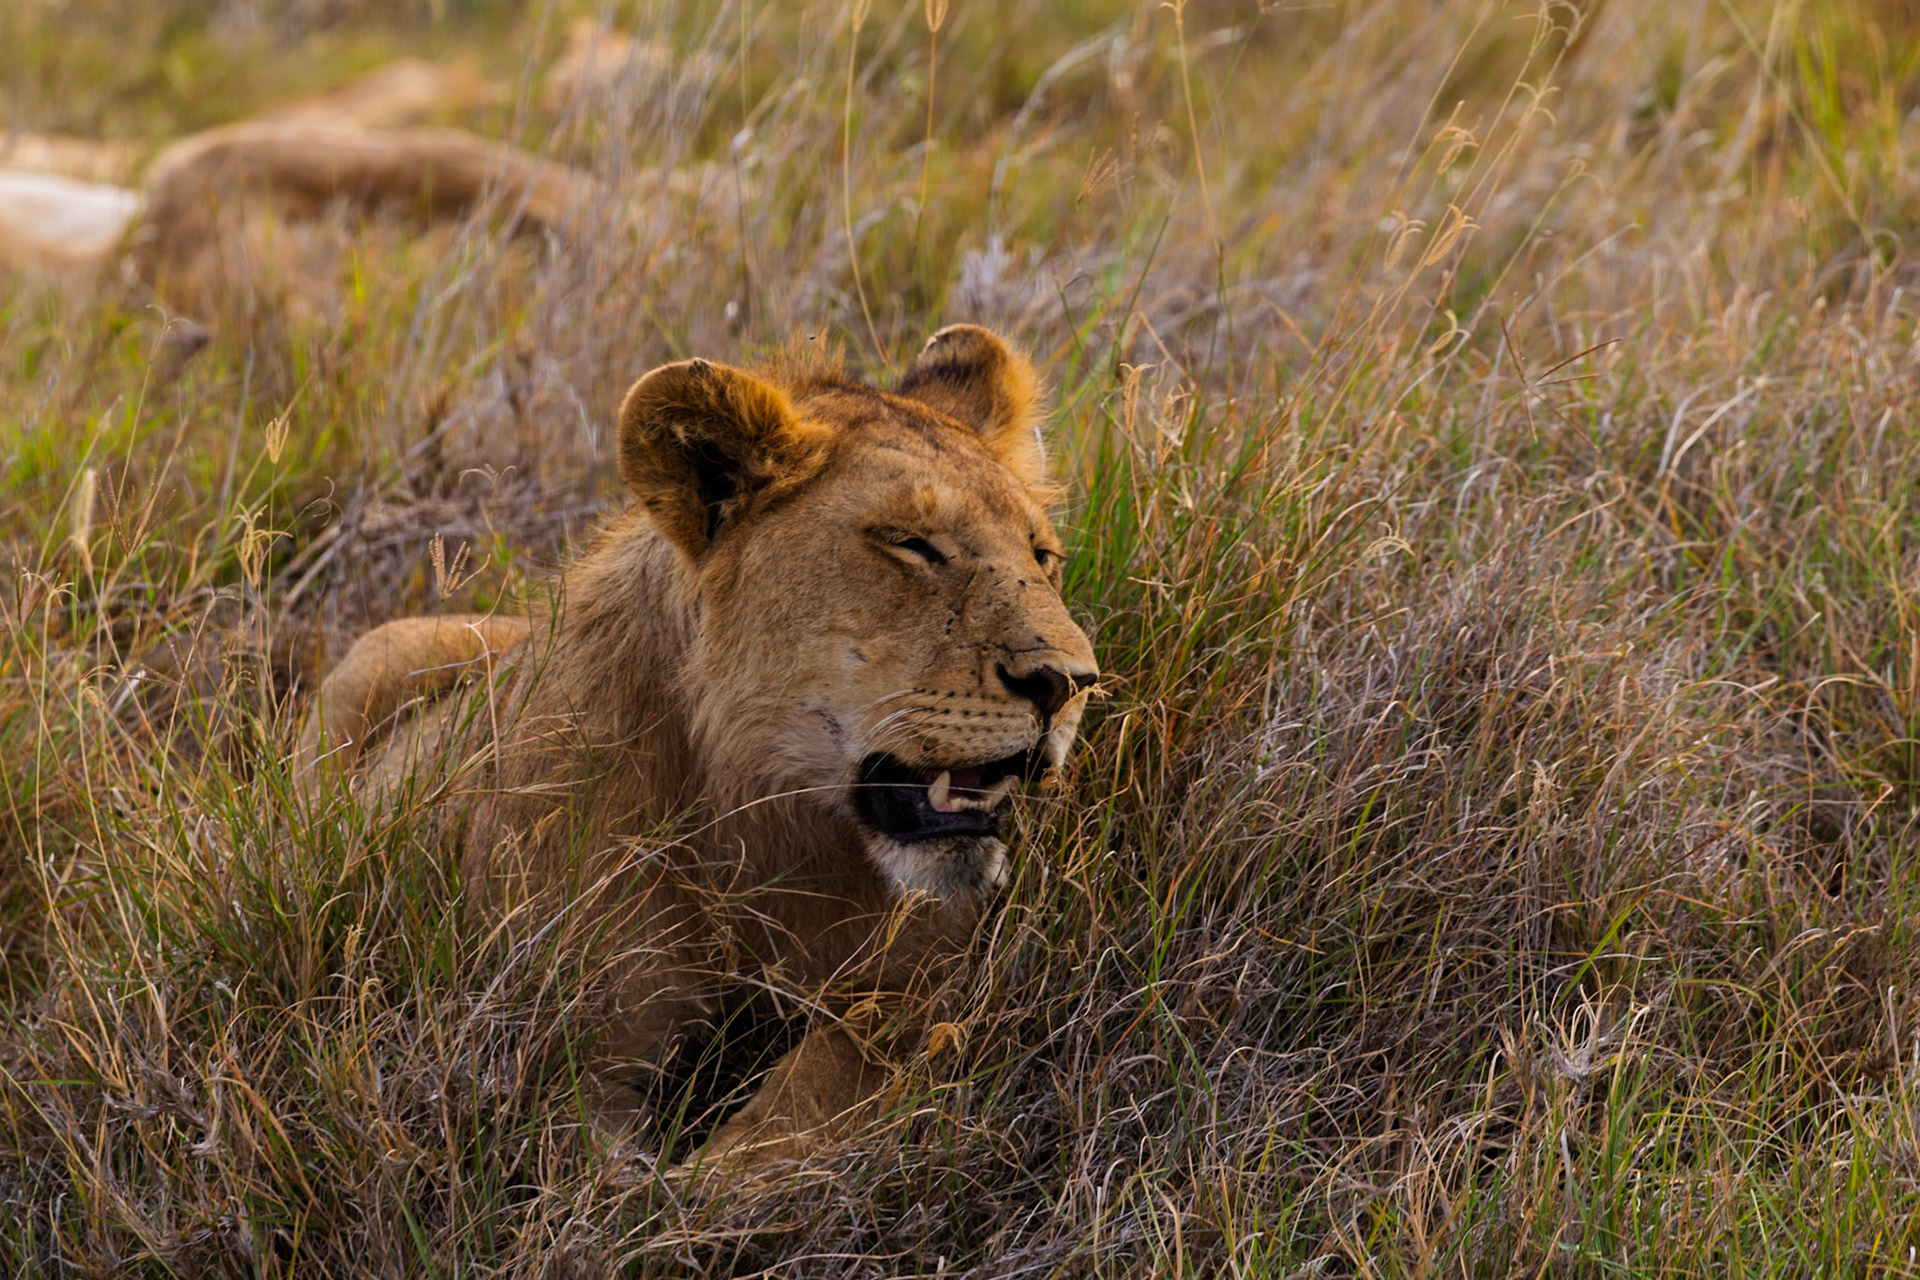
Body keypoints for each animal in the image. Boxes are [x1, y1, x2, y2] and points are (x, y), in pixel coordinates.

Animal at [296, 324, 1098, 1181]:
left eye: (1041, 555)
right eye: (912, 545)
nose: (1069, 682)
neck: (761, 822)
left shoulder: (930, 970)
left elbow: (824, 1084)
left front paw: (726, 1170)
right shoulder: (554, 1029)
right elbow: (590, 1166)